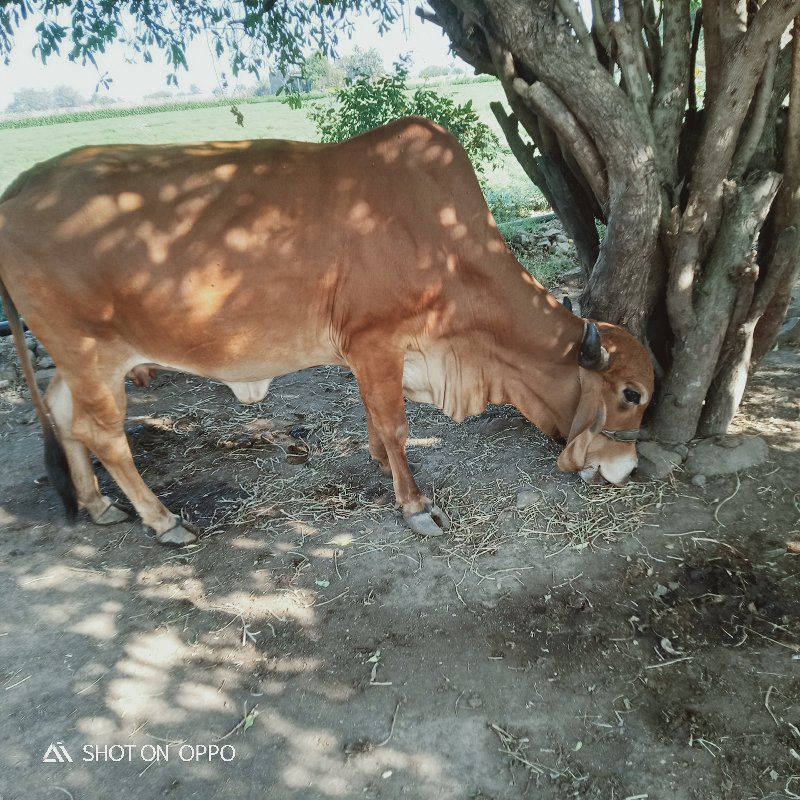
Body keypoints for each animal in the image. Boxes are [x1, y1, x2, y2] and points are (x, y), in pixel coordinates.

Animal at [0, 117, 648, 544]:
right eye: (630, 394)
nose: (630, 468)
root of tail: (18, 189)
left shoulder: (368, 353)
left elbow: (377, 422)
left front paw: (383, 468)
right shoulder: (377, 340)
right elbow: (396, 425)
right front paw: (415, 505)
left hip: (79, 357)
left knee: (64, 412)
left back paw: (95, 504)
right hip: (90, 350)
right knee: (103, 433)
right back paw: (162, 521)